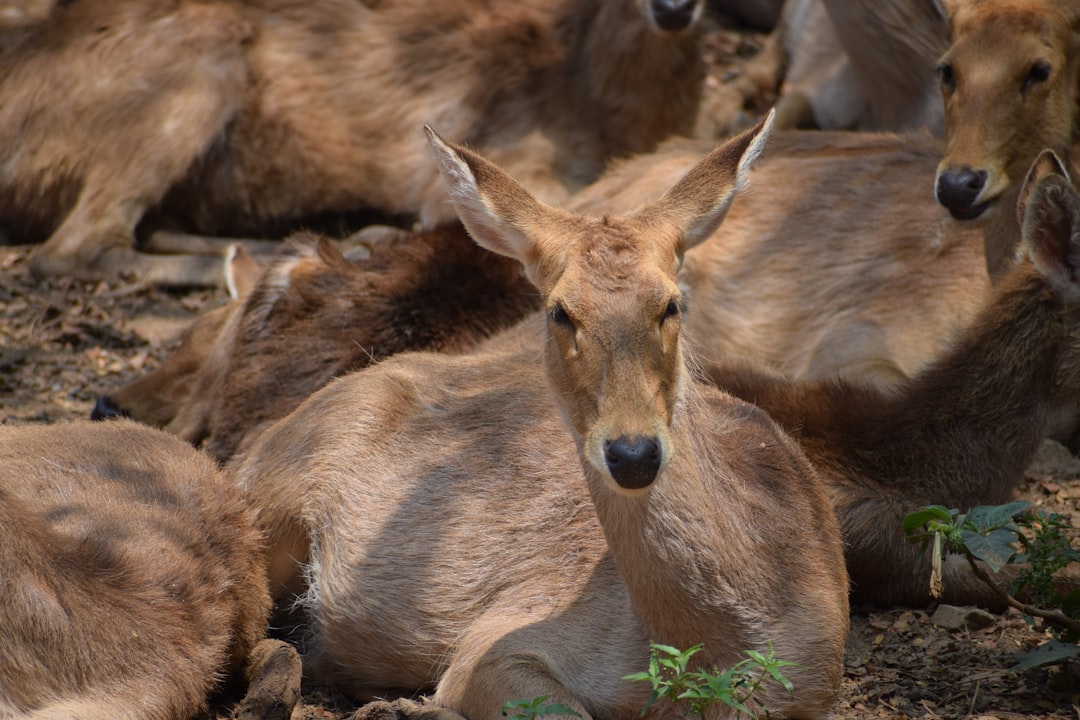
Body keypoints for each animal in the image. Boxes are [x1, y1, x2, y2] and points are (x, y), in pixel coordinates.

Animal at [230, 115, 851, 720]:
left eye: (671, 304)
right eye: (560, 312)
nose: (632, 453)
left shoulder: (815, 676)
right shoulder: (498, 637)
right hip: (272, 506)